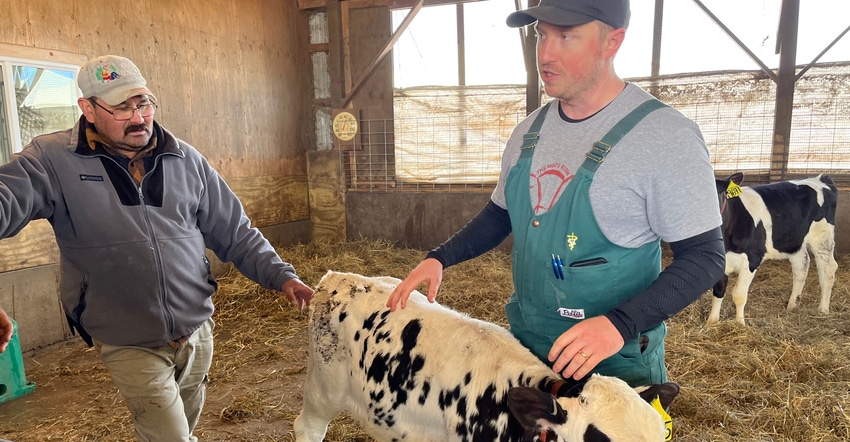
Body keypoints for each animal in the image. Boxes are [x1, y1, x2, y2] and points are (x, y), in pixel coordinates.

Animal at [708, 173, 836, 324]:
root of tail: (820, 177)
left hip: (822, 238)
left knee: (827, 271)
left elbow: (739, 295)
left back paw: (823, 309)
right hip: (794, 241)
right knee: (801, 268)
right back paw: (792, 306)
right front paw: (712, 322)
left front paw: (739, 323)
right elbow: (718, 291)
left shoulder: (752, 259)